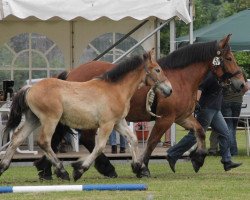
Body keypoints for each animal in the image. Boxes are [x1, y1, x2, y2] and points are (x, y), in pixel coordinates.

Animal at [35, 34, 248, 180]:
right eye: (229, 58)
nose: (241, 84)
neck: (180, 79)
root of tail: (71, 73)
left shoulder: (182, 118)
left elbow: (200, 131)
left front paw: (198, 159)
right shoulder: (165, 119)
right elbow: (152, 142)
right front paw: (142, 167)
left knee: (58, 137)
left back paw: (46, 168)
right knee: (81, 139)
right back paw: (102, 167)